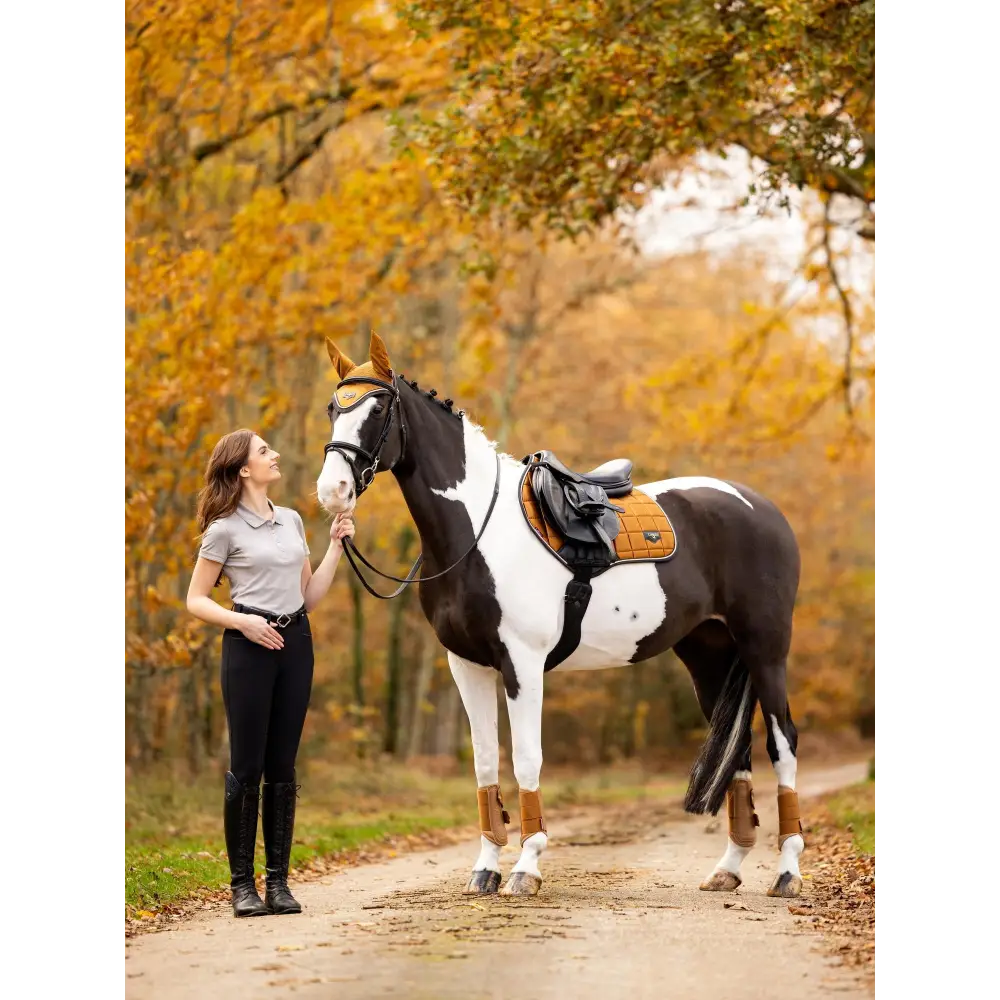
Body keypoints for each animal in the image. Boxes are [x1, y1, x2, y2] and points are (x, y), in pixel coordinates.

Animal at [316, 332, 808, 904]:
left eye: (377, 409)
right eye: (333, 408)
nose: (332, 492)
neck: (478, 532)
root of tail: (762, 509)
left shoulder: (523, 665)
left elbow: (527, 759)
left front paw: (525, 868)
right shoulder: (467, 665)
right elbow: (486, 762)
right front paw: (484, 870)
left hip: (765, 650)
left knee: (782, 742)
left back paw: (787, 872)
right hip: (708, 656)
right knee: (741, 751)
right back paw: (728, 869)